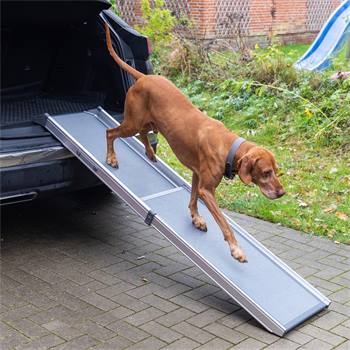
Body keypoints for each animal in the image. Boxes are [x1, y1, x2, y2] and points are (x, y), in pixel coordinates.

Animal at [104, 23, 284, 262]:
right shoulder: (207, 190)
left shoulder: (197, 175)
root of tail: (142, 77)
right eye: (266, 173)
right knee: (110, 132)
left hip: (147, 123)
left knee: (143, 135)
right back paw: (111, 158)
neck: (229, 148)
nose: (282, 193)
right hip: (132, 123)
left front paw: (196, 218)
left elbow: (191, 199)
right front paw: (236, 248)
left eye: (276, 171)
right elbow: (224, 223)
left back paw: (150, 154)